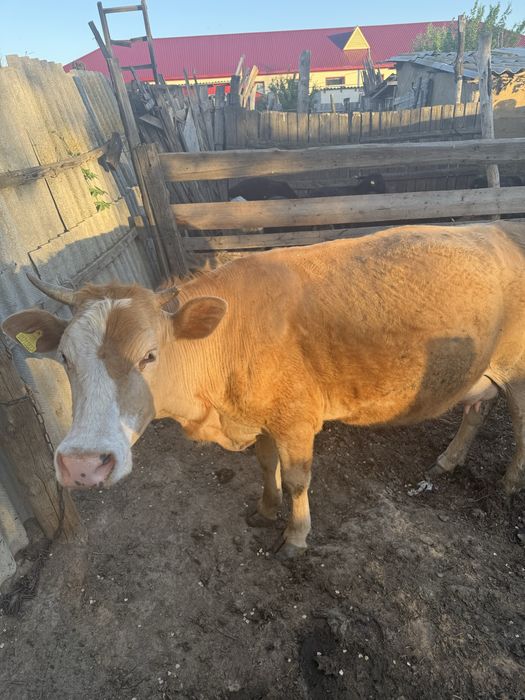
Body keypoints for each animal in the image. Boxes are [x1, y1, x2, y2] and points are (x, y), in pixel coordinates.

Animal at [4, 221, 525, 559]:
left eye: (150, 355)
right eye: (65, 357)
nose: (83, 465)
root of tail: (502, 230)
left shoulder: (296, 418)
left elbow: (296, 478)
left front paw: (295, 536)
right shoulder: (259, 417)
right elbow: (263, 463)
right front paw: (266, 508)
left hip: (518, 371)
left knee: (518, 425)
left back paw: (509, 483)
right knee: (476, 409)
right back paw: (449, 460)